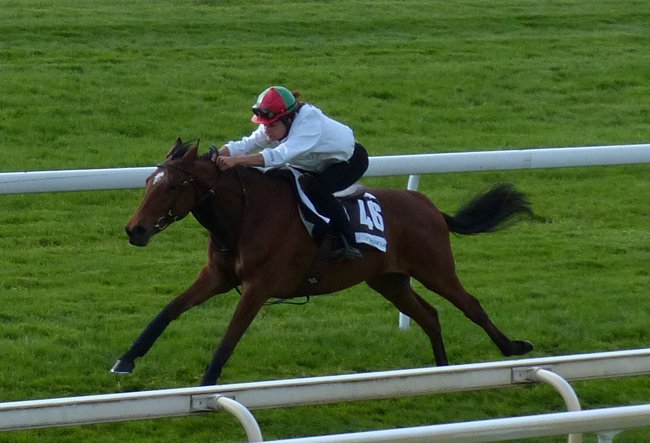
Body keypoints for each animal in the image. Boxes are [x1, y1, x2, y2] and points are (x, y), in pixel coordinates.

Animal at [112, 138, 534, 385]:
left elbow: (229, 338)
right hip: (389, 280)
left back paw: (513, 347)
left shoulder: (259, 287)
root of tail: (430, 207)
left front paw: (205, 388)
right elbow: (168, 311)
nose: (135, 229)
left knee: (471, 306)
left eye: (170, 186)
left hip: (435, 269)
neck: (245, 216)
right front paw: (126, 360)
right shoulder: (217, 275)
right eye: (147, 182)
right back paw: (445, 371)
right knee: (429, 315)